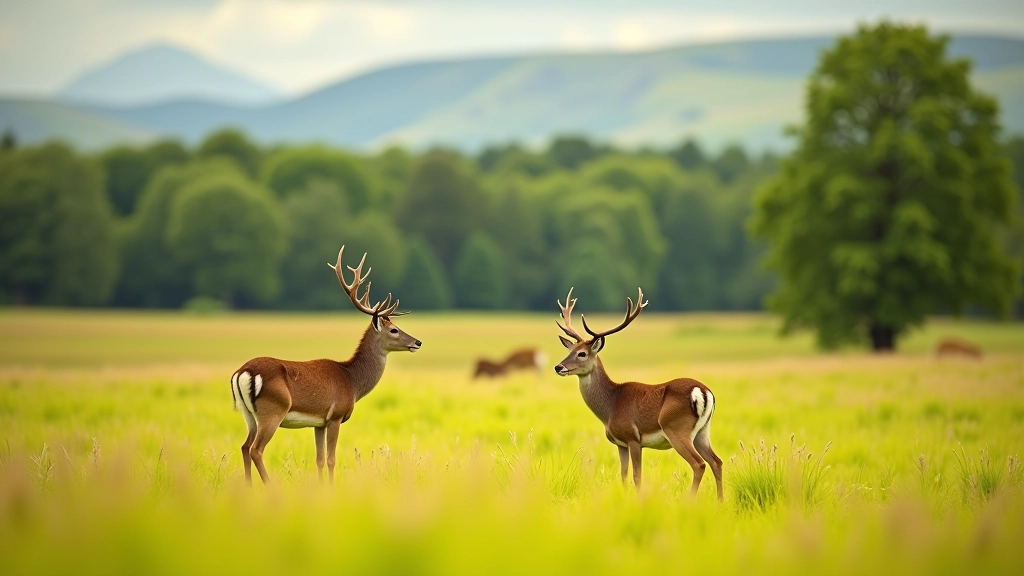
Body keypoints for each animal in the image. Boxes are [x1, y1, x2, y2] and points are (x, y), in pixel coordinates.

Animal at [230, 247, 422, 485]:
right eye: (394, 330)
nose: (418, 342)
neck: (352, 381)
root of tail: (242, 372)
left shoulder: (319, 423)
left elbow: (319, 459)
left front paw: (321, 488)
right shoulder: (335, 416)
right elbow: (331, 459)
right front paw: (331, 488)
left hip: (247, 413)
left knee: (244, 446)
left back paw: (248, 487)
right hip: (273, 409)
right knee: (256, 449)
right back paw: (270, 486)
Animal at [553, 287, 723, 500]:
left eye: (582, 353)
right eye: (570, 350)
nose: (558, 367)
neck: (610, 406)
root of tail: (703, 392)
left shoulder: (633, 438)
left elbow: (637, 475)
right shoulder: (620, 444)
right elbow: (623, 474)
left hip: (676, 428)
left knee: (699, 464)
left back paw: (690, 501)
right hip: (702, 432)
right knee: (717, 461)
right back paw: (720, 501)